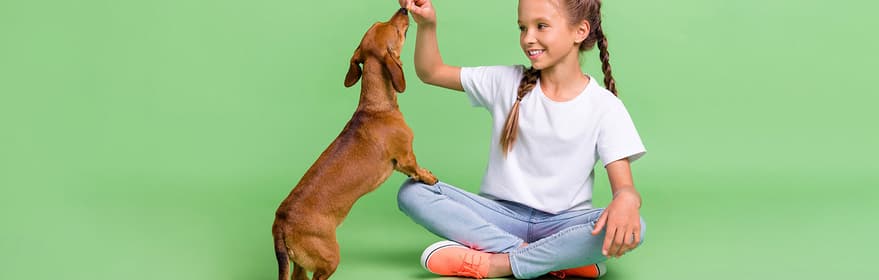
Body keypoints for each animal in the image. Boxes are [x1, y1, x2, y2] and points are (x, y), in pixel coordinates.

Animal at [268, 8, 434, 280]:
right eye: (394, 28)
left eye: (380, 22)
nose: (403, 9)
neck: (376, 107)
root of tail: (280, 222)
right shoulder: (405, 157)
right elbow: (416, 169)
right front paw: (429, 177)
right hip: (328, 259)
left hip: (300, 264)